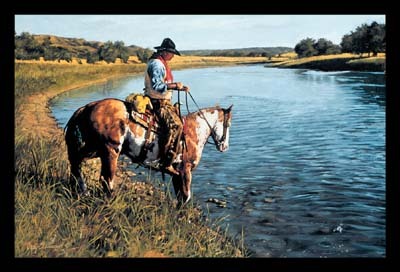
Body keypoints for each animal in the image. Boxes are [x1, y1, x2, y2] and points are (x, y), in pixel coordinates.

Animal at [62, 98, 231, 204]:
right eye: (228, 124)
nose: (225, 146)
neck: (193, 132)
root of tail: (88, 107)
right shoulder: (185, 170)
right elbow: (185, 197)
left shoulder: (177, 174)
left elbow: (180, 197)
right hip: (110, 151)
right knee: (106, 179)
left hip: (92, 150)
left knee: (76, 167)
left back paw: (82, 193)